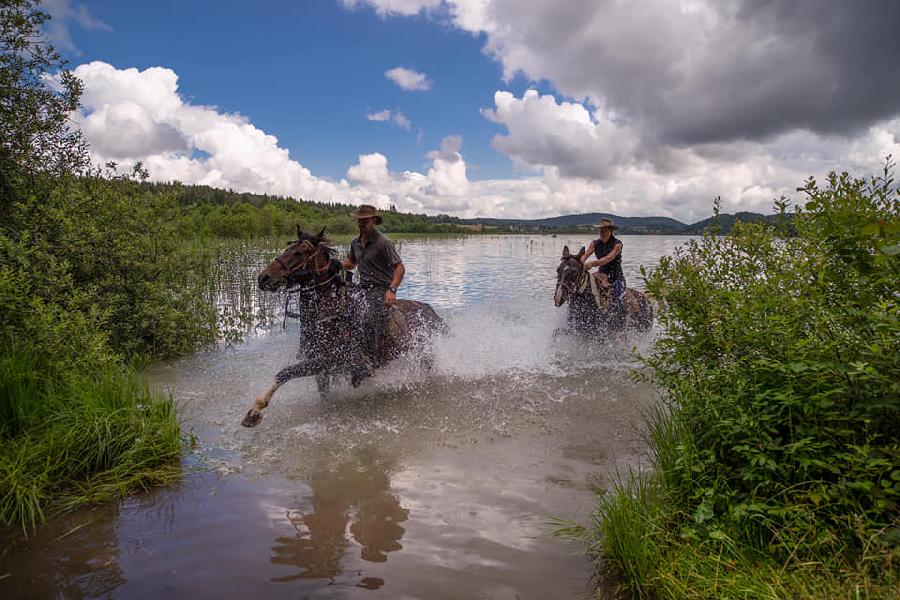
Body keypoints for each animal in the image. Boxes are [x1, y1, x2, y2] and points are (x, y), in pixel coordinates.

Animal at [244, 225, 444, 426]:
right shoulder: (321, 369)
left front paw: (255, 410)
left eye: (300, 253)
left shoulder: (337, 360)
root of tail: (431, 311)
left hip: (424, 355)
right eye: (288, 248)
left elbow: (286, 372)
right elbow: (322, 394)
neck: (329, 316)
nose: (263, 278)